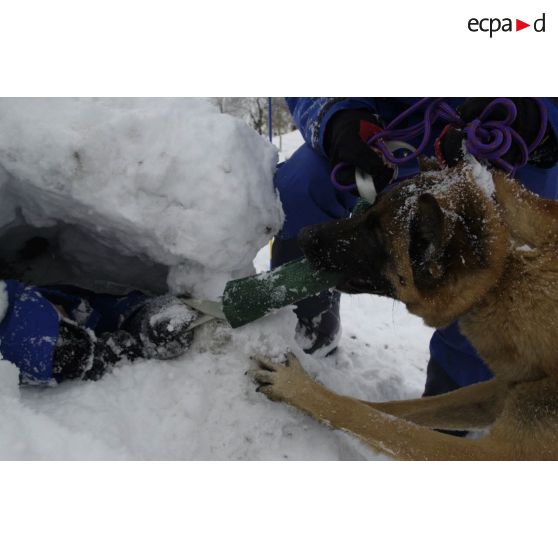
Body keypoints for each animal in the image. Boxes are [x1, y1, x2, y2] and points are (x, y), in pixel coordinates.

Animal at [250, 161, 558, 460]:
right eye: (370, 208)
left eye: (376, 236)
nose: (303, 234)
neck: (506, 278)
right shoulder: (498, 392)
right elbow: (391, 410)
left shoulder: (493, 452)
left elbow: (367, 418)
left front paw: (296, 386)